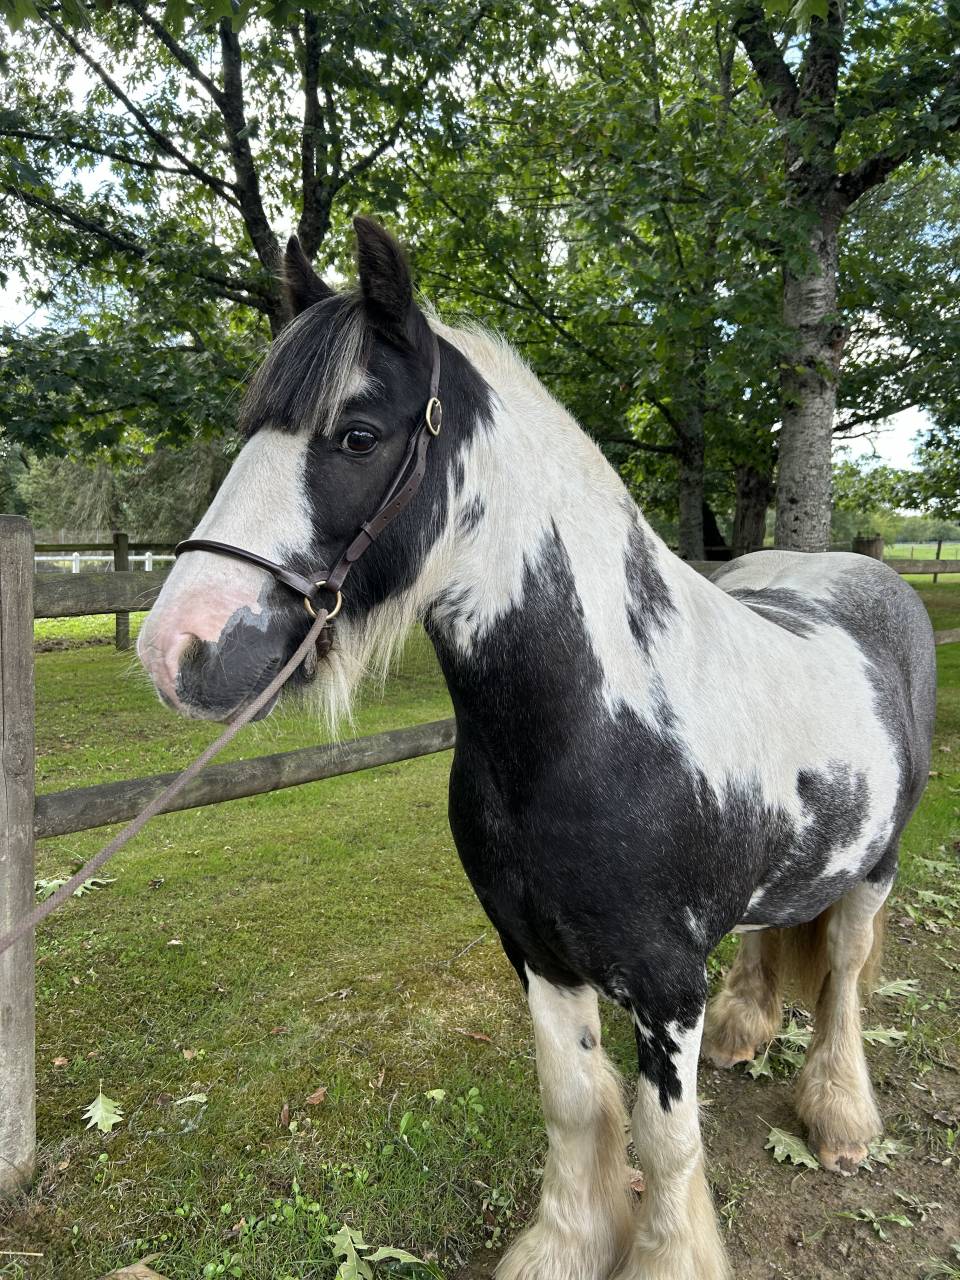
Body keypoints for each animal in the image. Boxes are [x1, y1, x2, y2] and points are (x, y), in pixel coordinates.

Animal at [137, 217, 937, 1280]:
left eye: (358, 434)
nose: (176, 649)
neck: (597, 732)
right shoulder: (535, 953)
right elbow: (574, 1106)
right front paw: (564, 1246)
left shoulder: (664, 986)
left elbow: (665, 1142)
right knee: (774, 930)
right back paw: (746, 1029)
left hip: (875, 867)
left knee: (845, 975)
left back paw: (841, 1117)